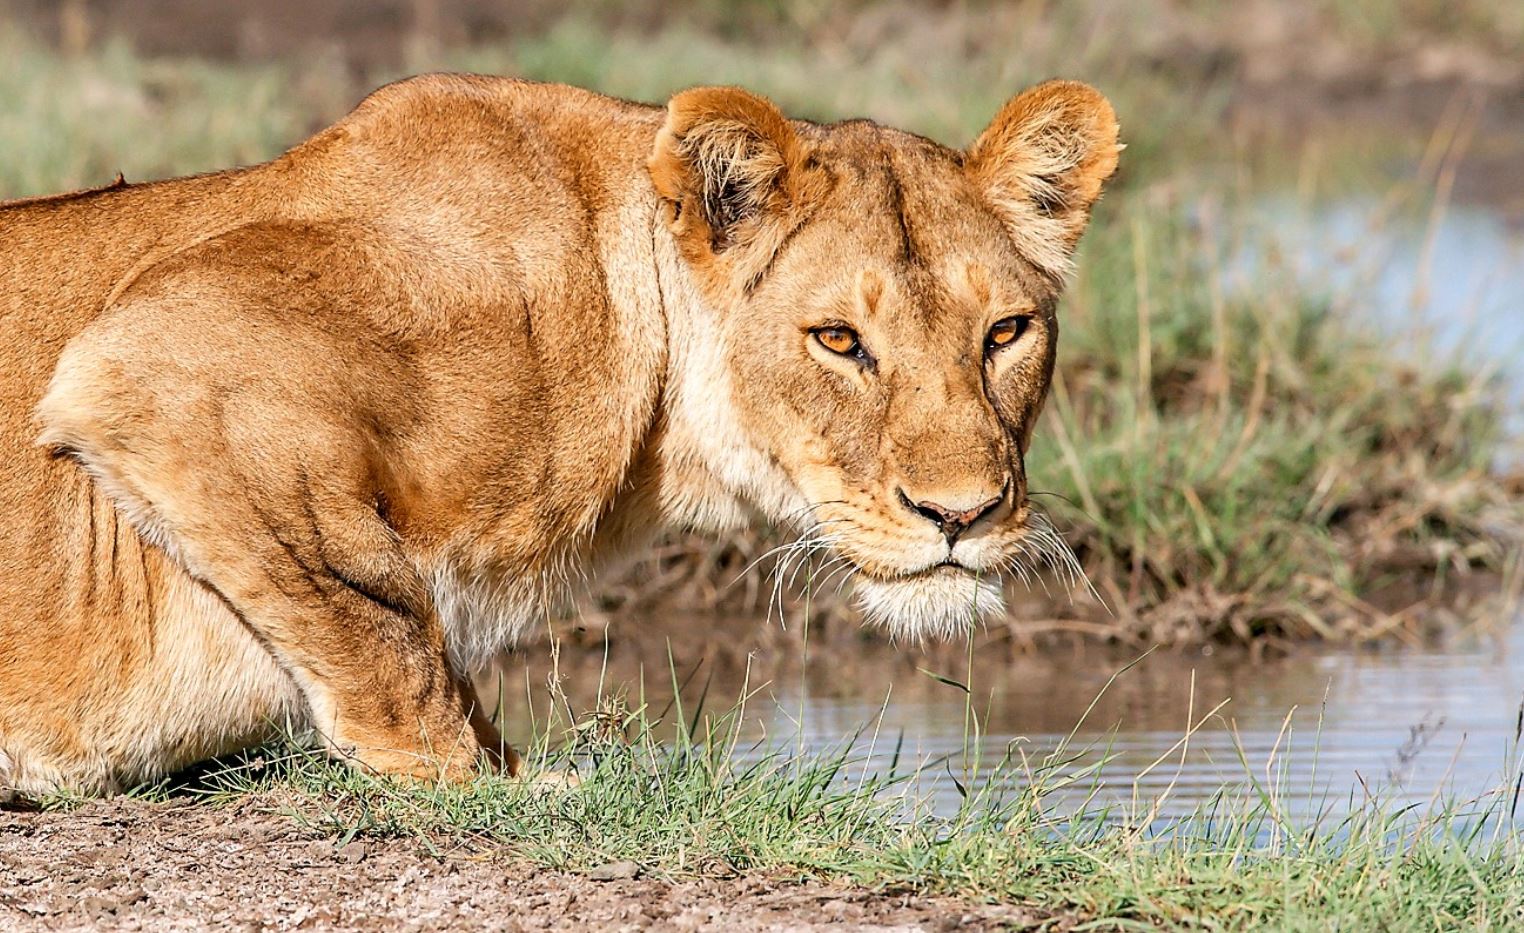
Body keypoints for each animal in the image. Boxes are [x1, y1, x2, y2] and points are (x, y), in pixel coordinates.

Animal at [0, 76, 1121, 798]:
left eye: (1006, 332)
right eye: (839, 340)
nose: (961, 515)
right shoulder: (149, 352)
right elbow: (378, 614)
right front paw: (498, 782)